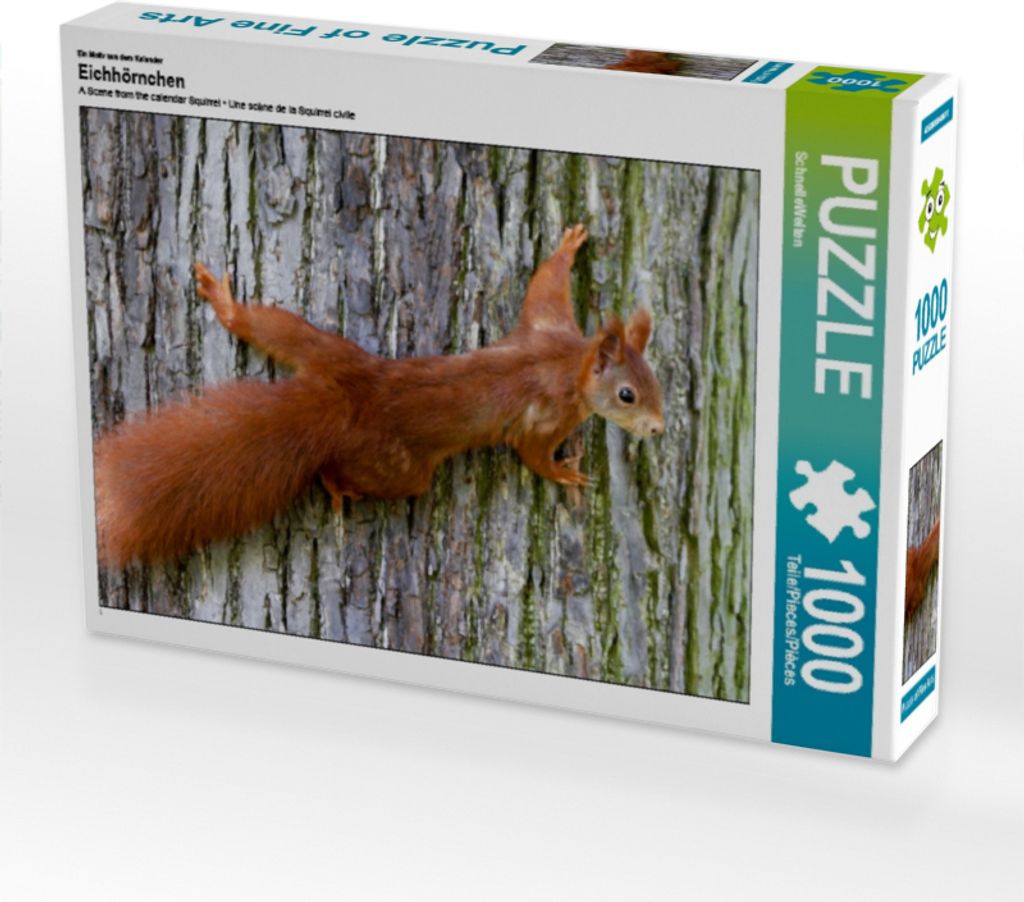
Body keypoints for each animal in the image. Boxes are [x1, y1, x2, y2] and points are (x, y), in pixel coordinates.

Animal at [94, 224, 665, 567]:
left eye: (658, 384)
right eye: (628, 395)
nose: (659, 428)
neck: (569, 364)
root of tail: (344, 402)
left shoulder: (548, 326)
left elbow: (542, 287)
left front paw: (567, 247)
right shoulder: (545, 413)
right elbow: (532, 455)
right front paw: (566, 472)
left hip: (321, 349)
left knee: (267, 326)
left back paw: (228, 305)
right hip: (397, 467)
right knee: (364, 475)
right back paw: (337, 486)